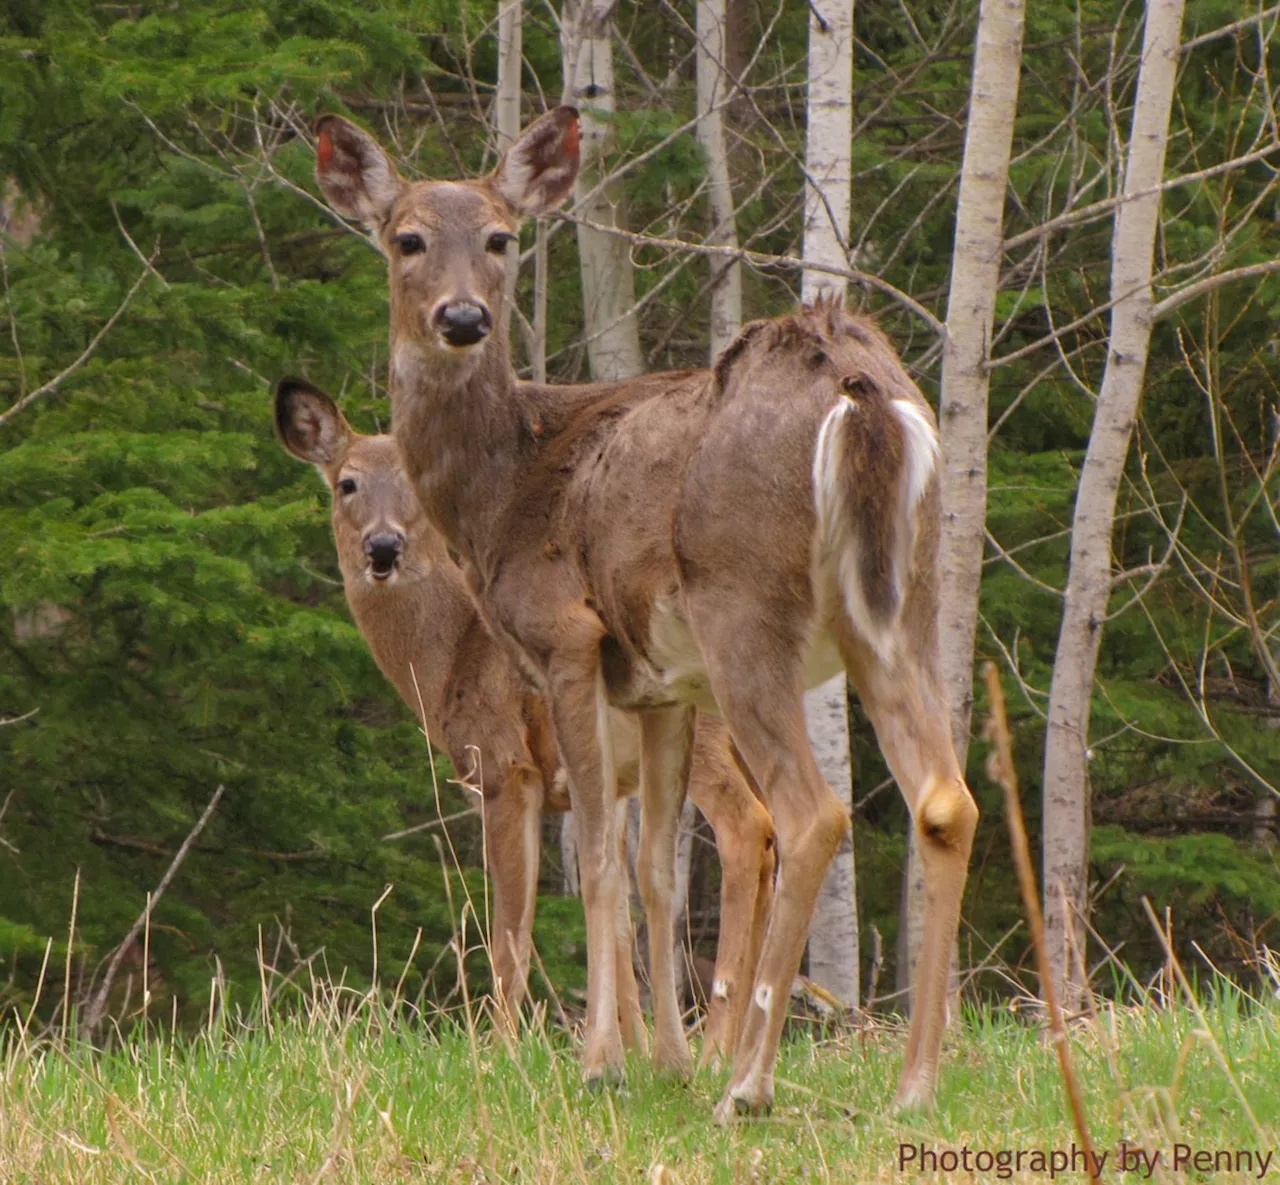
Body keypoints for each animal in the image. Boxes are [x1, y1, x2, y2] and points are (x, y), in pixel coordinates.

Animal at [275, 383, 773, 1064]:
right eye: (346, 482)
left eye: (415, 484)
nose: (383, 547)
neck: (452, 656)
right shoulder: (601, 784)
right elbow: (615, 914)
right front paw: (630, 1047)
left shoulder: (504, 765)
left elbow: (510, 927)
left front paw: (498, 1049)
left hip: (708, 735)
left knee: (749, 827)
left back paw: (720, 1041)